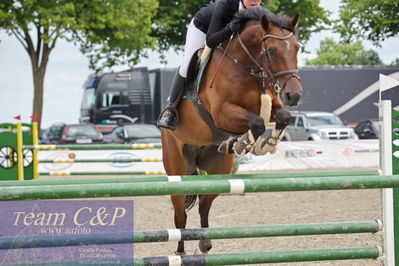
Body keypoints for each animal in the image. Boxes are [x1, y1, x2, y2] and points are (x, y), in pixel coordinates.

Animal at [161, 6, 302, 256]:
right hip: (176, 169)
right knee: (180, 215)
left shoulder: (269, 105)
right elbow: (257, 123)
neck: (248, 65)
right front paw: (244, 143)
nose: (293, 95)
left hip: (218, 170)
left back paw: (204, 244)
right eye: (272, 51)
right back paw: (180, 252)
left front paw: (261, 144)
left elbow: (282, 117)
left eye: (296, 48)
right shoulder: (221, 112)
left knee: (204, 205)